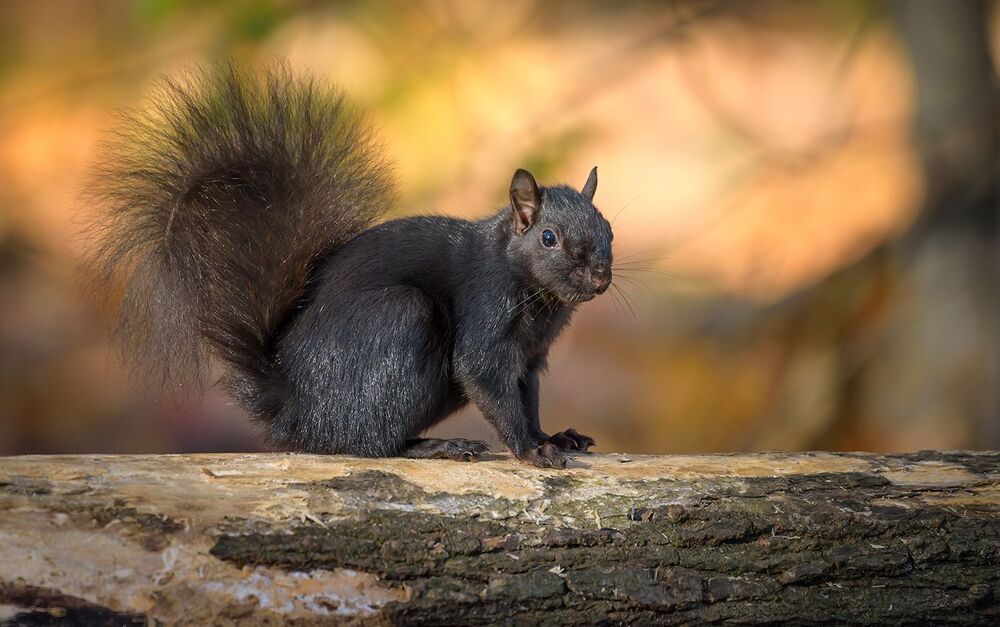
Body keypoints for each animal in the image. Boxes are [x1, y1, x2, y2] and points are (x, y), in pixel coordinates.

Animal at [89, 64, 614, 468]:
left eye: (608, 227)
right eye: (549, 238)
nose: (600, 277)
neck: (535, 293)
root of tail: (294, 405)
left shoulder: (531, 356)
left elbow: (527, 398)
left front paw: (552, 437)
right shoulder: (486, 309)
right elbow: (486, 376)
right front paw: (530, 450)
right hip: (400, 320)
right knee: (367, 442)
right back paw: (437, 445)